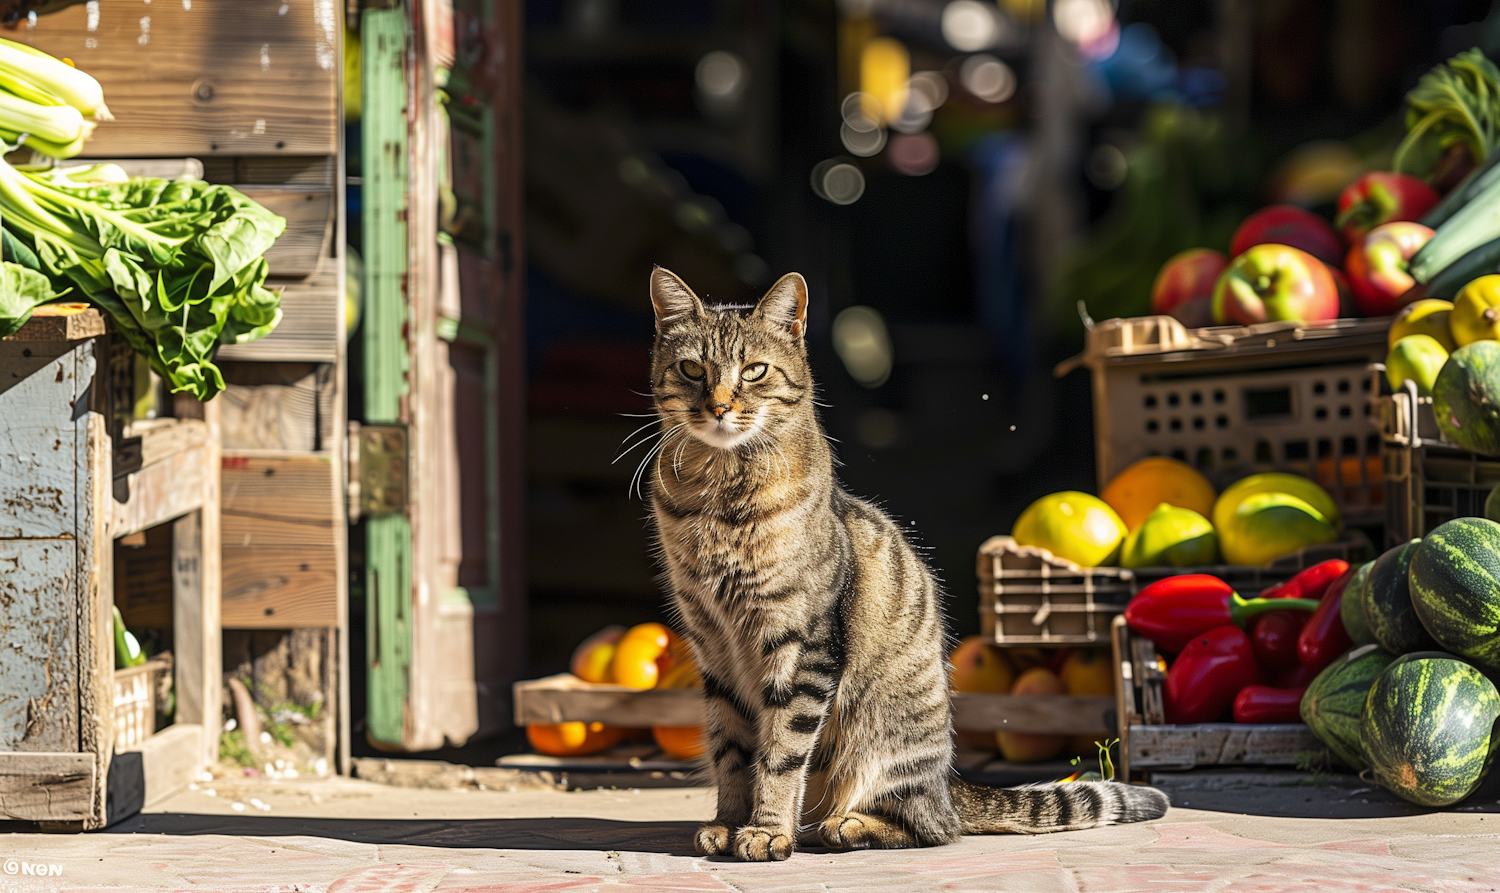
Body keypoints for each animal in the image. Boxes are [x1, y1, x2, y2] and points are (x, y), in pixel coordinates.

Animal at [645, 268, 1170, 864]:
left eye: (754, 371)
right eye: (692, 369)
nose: (717, 406)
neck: (719, 494)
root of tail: (950, 782)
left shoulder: (803, 646)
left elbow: (779, 753)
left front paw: (766, 830)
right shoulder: (713, 648)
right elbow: (731, 748)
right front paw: (727, 823)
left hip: (883, 737)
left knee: (931, 827)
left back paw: (848, 825)